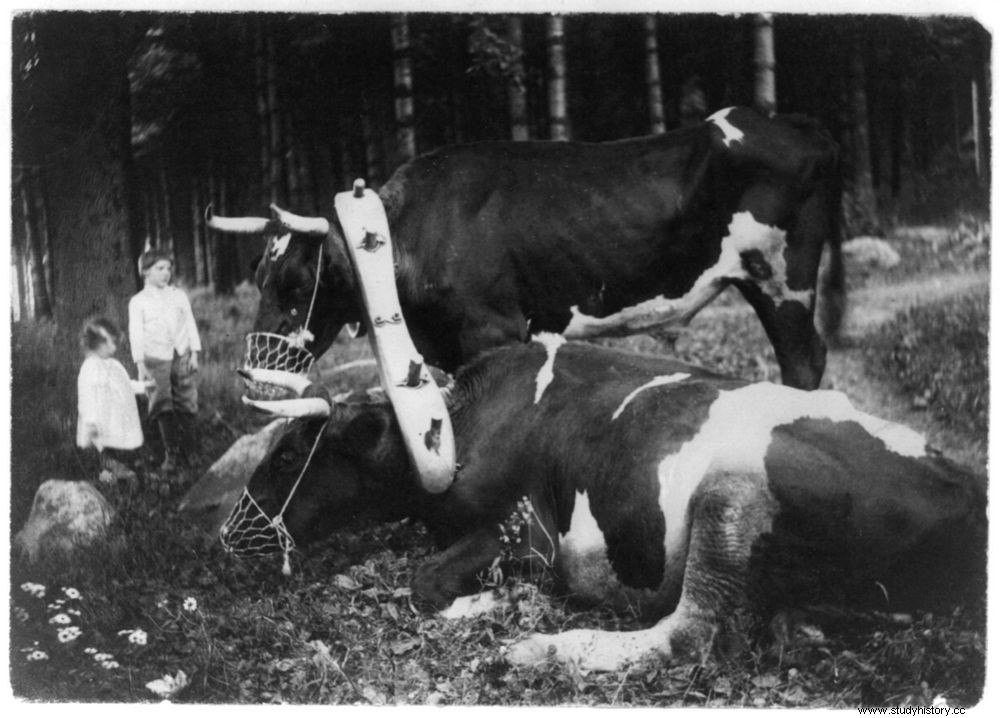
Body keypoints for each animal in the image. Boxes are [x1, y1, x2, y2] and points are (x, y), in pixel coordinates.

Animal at [209, 105, 844, 390]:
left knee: (804, 360)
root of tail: (802, 128)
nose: (249, 370)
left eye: (295, 282)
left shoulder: (493, 330)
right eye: (257, 277)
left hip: (782, 280)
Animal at [221, 340, 984, 672]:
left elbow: (425, 582)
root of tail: (967, 493)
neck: (465, 421)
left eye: (288, 456)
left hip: (730, 498)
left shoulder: (525, 530)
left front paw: (494, 603)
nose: (229, 534)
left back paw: (538, 649)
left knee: (688, 633)